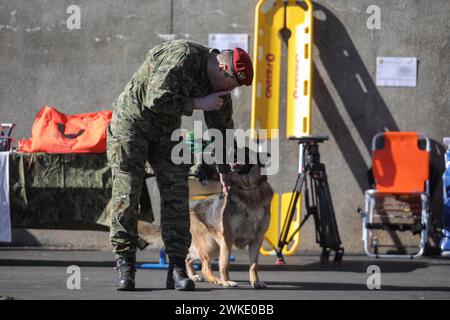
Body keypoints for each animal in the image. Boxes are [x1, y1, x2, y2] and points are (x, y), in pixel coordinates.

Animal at [185, 160, 272, 290]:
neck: (248, 189)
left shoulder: (257, 240)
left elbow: (254, 265)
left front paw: (255, 282)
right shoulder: (227, 238)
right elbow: (225, 263)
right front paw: (226, 281)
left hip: (214, 248)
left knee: (188, 258)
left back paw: (193, 276)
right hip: (210, 246)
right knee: (205, 268)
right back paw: (217, 280)